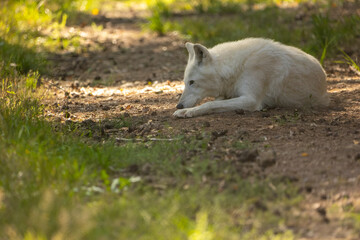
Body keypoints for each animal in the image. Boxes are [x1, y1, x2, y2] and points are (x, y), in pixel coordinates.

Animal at [174, 37, 330, 118]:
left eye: (192, 82)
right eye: (185, 82)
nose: (178, 105)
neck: (239, 66)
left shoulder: (251, 100)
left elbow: (210, 104)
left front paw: (188, 111)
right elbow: (215, 101)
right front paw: (183, 111)